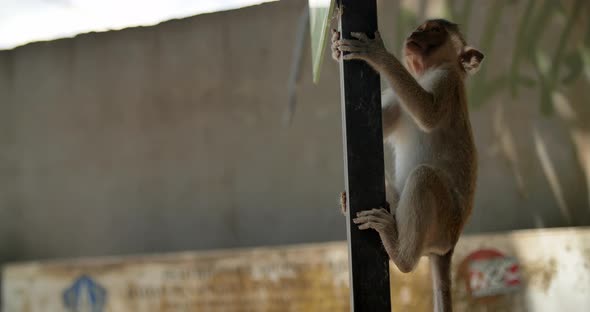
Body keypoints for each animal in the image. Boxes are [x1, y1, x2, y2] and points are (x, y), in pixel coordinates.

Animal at [332, 20, 486, 312]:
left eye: (434, 30)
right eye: (421, 27)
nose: (415, 34)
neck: (425, 73)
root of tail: (450, 245)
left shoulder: (447, 81)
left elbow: (428, 113)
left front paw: (378, 55)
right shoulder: (397, 97)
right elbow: (377, 124)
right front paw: (335, 46)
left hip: (444, 222)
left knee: (424, 177)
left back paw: (399, 254)